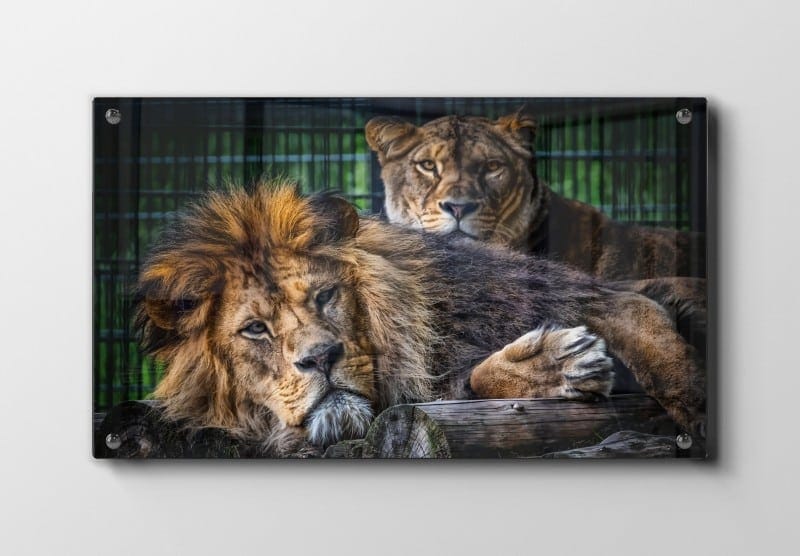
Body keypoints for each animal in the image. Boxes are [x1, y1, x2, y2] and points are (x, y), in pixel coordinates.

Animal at [133, 182, 705, 457]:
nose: (321, 358)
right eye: (255, 328)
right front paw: (559, 365)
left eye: (324, 296)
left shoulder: (607, 297)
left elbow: (669, 363)